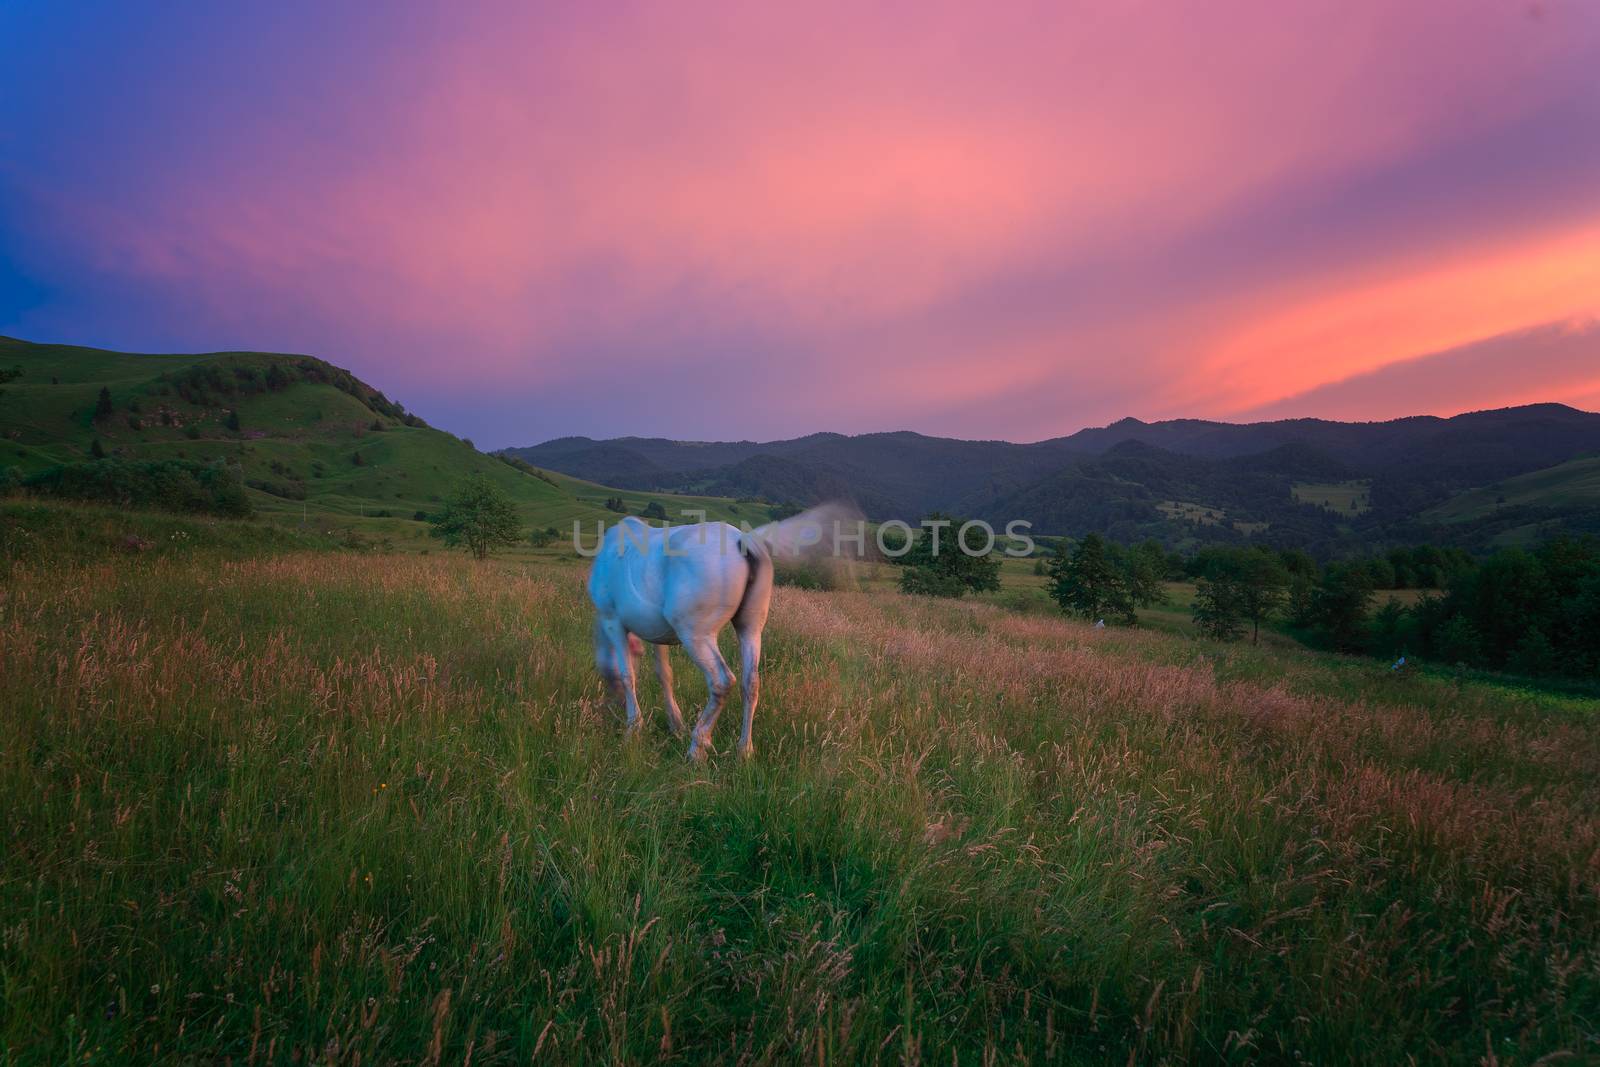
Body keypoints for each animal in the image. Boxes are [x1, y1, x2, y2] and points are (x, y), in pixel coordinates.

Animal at [588, 502, 857, 758]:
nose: (606, 710)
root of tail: (744, 540)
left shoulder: (612, 621)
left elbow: (628, 675)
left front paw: (633, 728)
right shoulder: (656, 634)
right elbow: (664, 674)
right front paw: (675, 724)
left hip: (697, 635)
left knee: (722, 681)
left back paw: (698, 746)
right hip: (750, 629)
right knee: (751, 683)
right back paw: (744, 750)